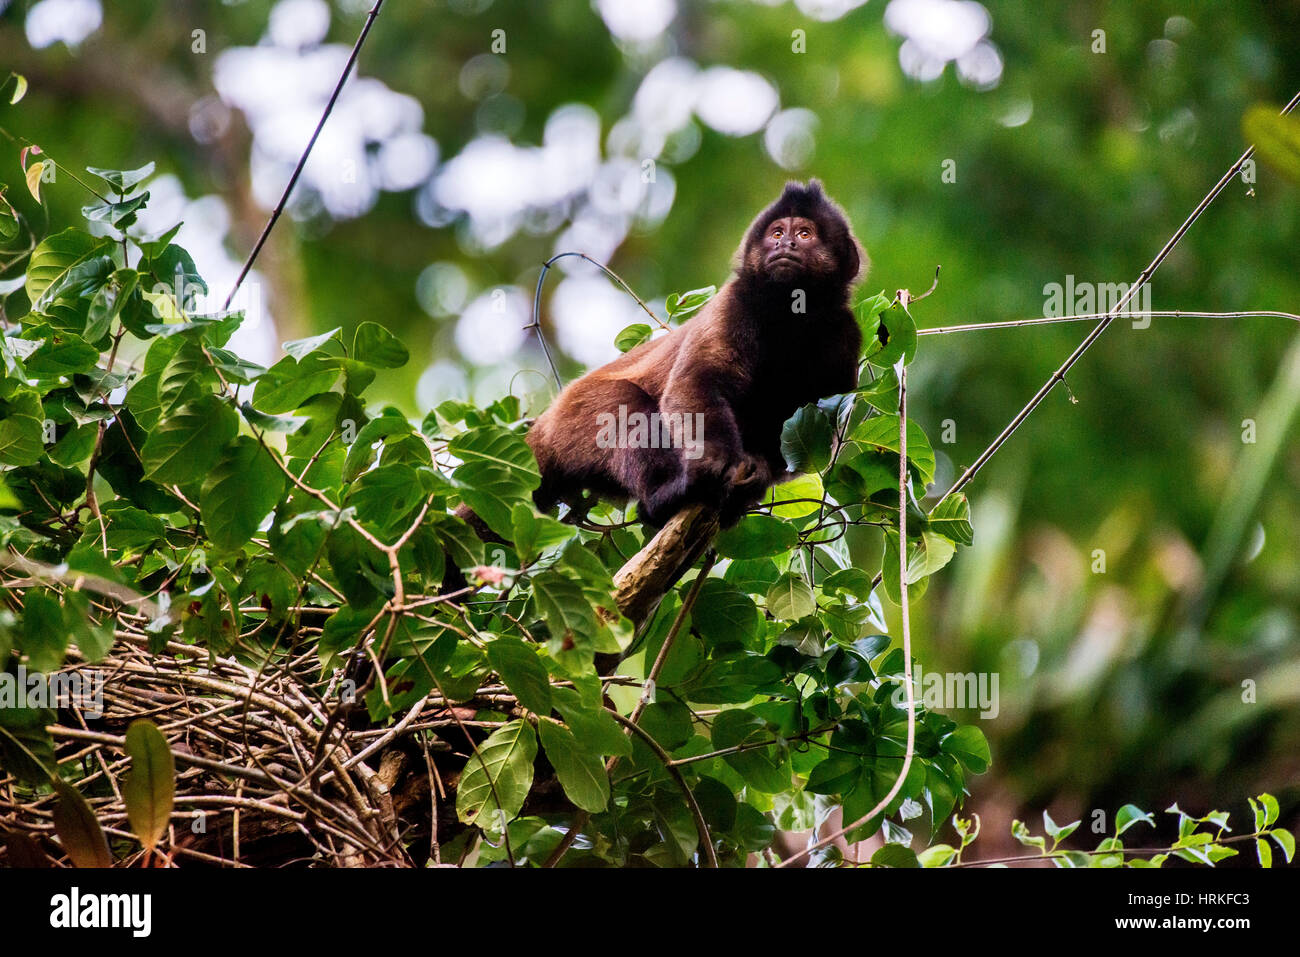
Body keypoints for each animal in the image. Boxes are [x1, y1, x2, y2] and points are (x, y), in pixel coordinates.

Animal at [527, 179, 863, 530]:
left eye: (804, 234)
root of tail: (544, 426)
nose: (785, 243)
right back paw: (666, 496)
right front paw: (717, 462)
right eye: (777, 232)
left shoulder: (845, 336)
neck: (790, 315)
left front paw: (754, 480)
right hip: (574, 418)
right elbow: (696, 384)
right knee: (622, 405)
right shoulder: (734, 303)